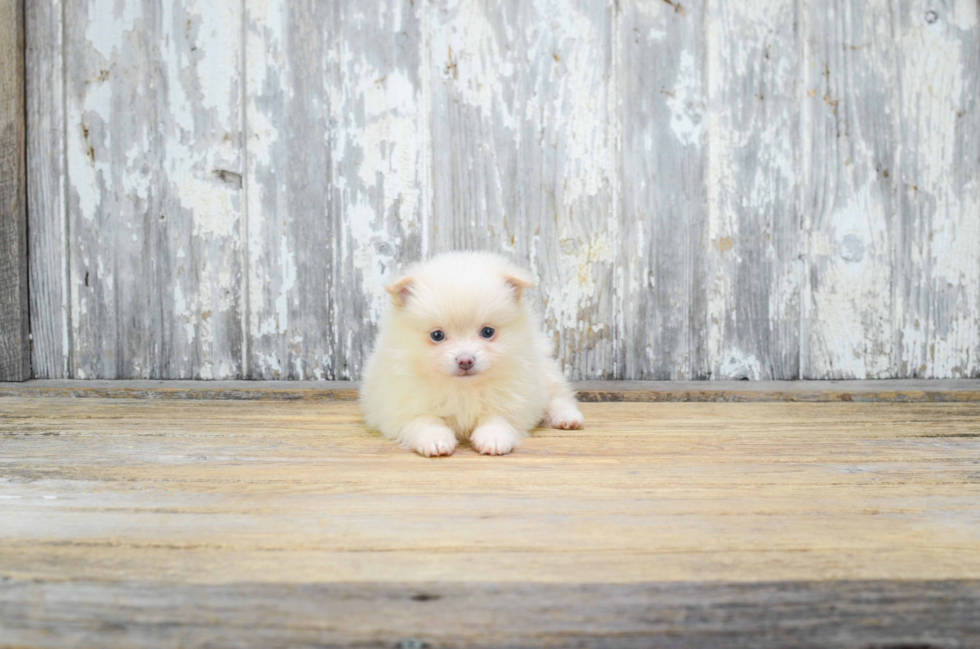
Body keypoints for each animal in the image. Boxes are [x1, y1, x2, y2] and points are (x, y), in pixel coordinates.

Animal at [364, 249, 584, 456]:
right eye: (437, 335)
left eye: (487, 332)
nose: (465, 360)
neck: (463, 388)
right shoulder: (403, 405)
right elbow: (424, 421)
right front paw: (435, 440)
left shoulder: (513, 396)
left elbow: (497, 418)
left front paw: (493, 438)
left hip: (546, 372)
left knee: (558, 397)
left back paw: (567, 417)